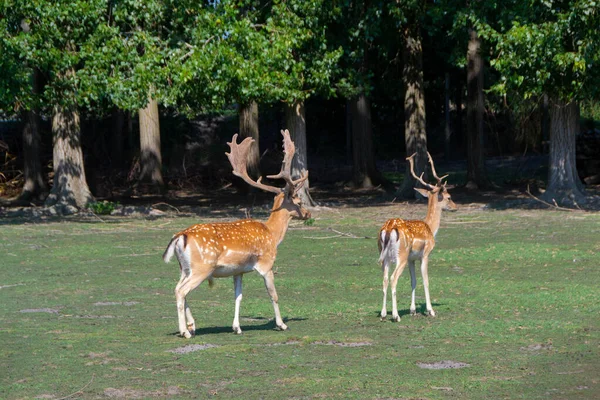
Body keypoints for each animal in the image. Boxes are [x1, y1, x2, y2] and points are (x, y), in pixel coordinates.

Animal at [162, 130, 312, 338]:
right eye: (298, 201)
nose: (308, 214)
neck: (272, 235)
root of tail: (180, 237)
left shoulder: (238, 270)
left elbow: (238, 296)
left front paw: (237, 327)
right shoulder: (266, 263)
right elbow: (273, 294)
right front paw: (282, 324)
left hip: (184, 267)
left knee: (177, 288)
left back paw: (192, 325)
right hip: (202, 267)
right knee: (181, 291)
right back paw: (185, 331)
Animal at [378, 153, 458, 322]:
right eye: (449, 197)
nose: (456, 207)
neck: (430, 228)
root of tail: (388, 229)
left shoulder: (411, 259)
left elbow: (413, 281)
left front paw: (413, 310)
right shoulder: (425, 254)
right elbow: (426, 280)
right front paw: (430, 310)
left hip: (384, 256)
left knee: (385, 279)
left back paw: (383, 314)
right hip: (400, 255)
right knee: (393, 278)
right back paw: (395, 315)